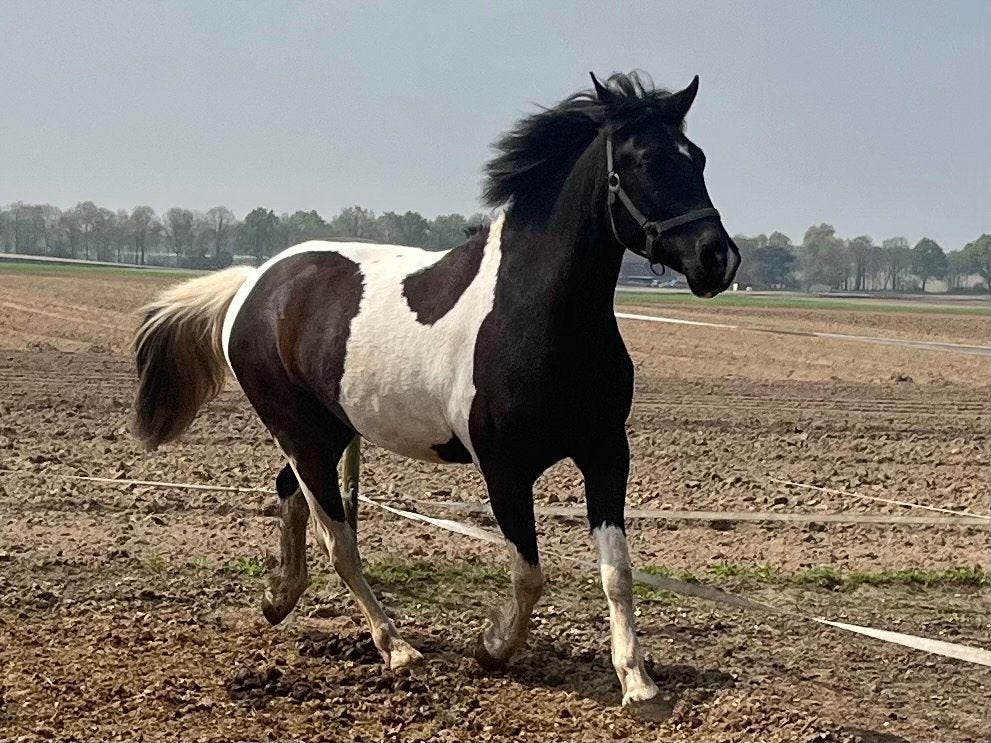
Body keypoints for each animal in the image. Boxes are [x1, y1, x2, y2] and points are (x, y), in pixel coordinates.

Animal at [131, 71, 740, 711]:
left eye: (696, 157)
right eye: (644, 161)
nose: (717, 258)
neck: (539, 315)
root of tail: (254, 282)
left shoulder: (604, 451)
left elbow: (617, 571)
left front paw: (639, 683)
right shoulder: (504, 468)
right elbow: (530, 573)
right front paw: (491, 647)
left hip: (326, 431)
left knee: (290, 493)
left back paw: (279, 597)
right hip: (300, 433)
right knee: (339, 540)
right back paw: (395, 647)